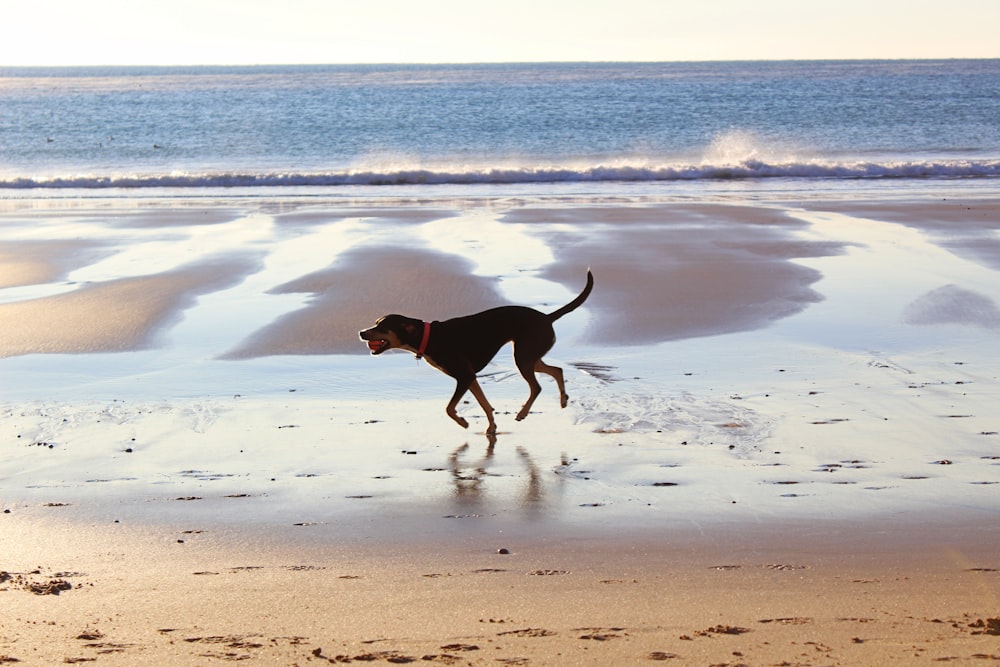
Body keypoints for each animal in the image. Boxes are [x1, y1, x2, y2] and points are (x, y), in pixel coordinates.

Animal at [360, 270, 592, 434]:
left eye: (382, 326)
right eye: (375, 323)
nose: (361, 332)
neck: (427, 337)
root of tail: (546, 317)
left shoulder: (464, 376)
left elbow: (449, 408)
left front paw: (463, 422)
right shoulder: (470, 377)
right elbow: (484, 404)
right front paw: (491, 427)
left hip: (523, 357)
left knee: (537, 387)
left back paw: (522, 413)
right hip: (529, 356)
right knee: (557, 370)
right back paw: (563, 400)